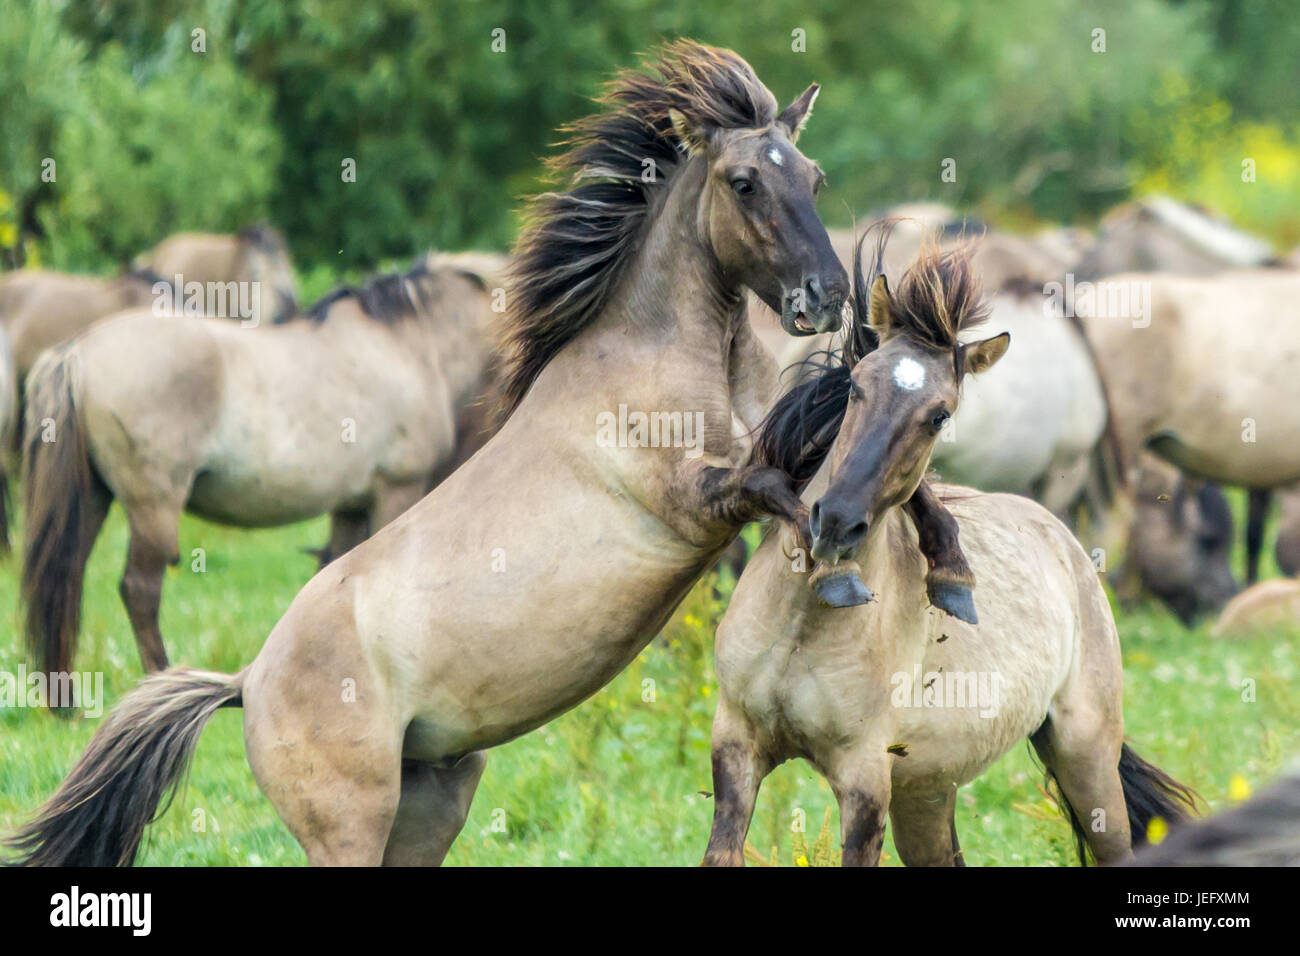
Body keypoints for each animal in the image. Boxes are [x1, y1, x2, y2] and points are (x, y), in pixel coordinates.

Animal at [21, 255, 502, 677]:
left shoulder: (349, 506)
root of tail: (76, 351)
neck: (407, 347)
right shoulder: (396, 489)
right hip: (152, 507)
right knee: (139, 590)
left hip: (92, 499)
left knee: (64, 579)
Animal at [701, 239, 1197, 866]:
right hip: (927, 791)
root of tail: (1061, 539)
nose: (835, 523)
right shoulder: (736, 745)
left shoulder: (865, 780)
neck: (801, 627)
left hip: (1085, 760)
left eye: (938, 415)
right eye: (855, 386)